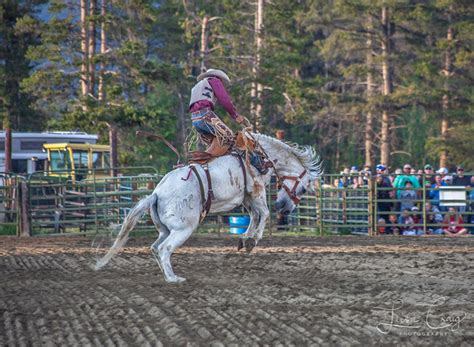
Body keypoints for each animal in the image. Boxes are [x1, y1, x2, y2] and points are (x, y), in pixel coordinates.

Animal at [94, 135, 322, 284]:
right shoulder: (255, 191)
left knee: (154, 247)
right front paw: (252, 241)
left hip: (165, 229)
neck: (260, 155)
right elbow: (263, 214)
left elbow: (253, 215)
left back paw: (166, 275)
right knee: (164, 248)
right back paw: (174, 278)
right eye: (303, 188)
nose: (284, 208)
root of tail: (156, 194)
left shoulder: (246, 196)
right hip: (183, 229)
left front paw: (244, 240)